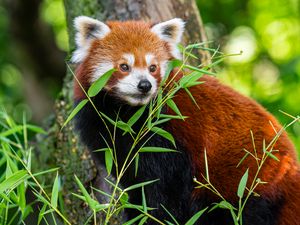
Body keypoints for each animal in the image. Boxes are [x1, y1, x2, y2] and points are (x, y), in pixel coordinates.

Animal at [71, 16, 298, 225]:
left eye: (153, 67)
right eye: (124, 66)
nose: (145, 85)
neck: (127, 114)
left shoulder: (169, 139)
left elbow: (164, 192)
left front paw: (152, 217)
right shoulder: (101, 128)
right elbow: (135, 184)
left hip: (247, 183)